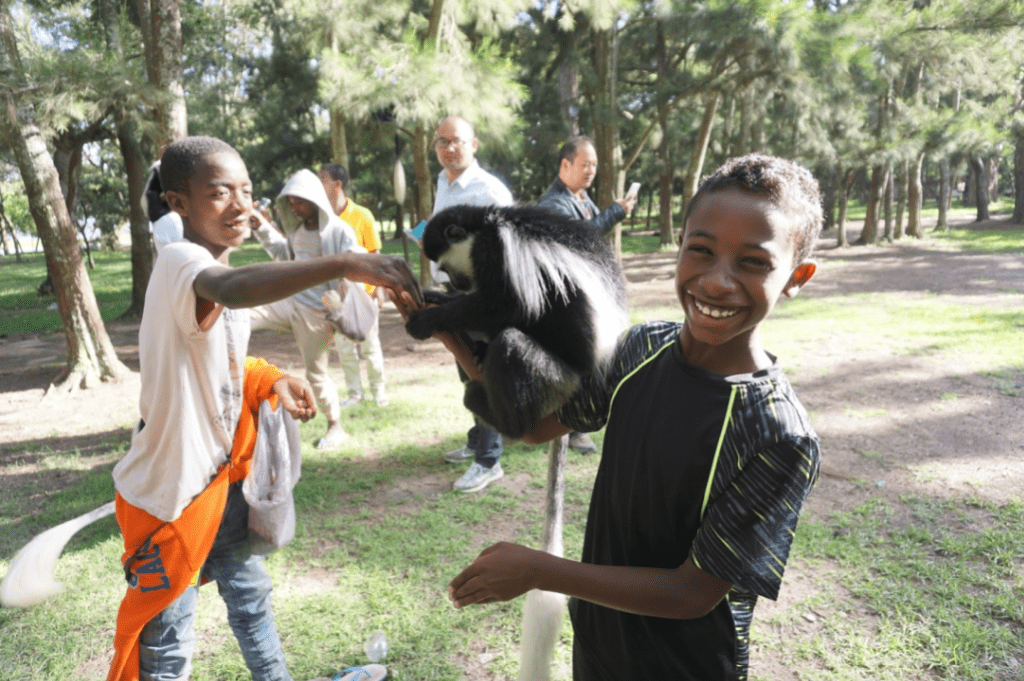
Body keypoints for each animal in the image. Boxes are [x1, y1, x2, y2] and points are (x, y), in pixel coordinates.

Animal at [407, 202, 630, 436]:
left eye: (445, 268)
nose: (455, 284)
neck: (485, 224)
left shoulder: (494, 248)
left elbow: (504, 305)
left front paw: (427, 319)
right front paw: (435, 297)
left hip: (560, 382)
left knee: (512, 344)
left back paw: (496, 415)